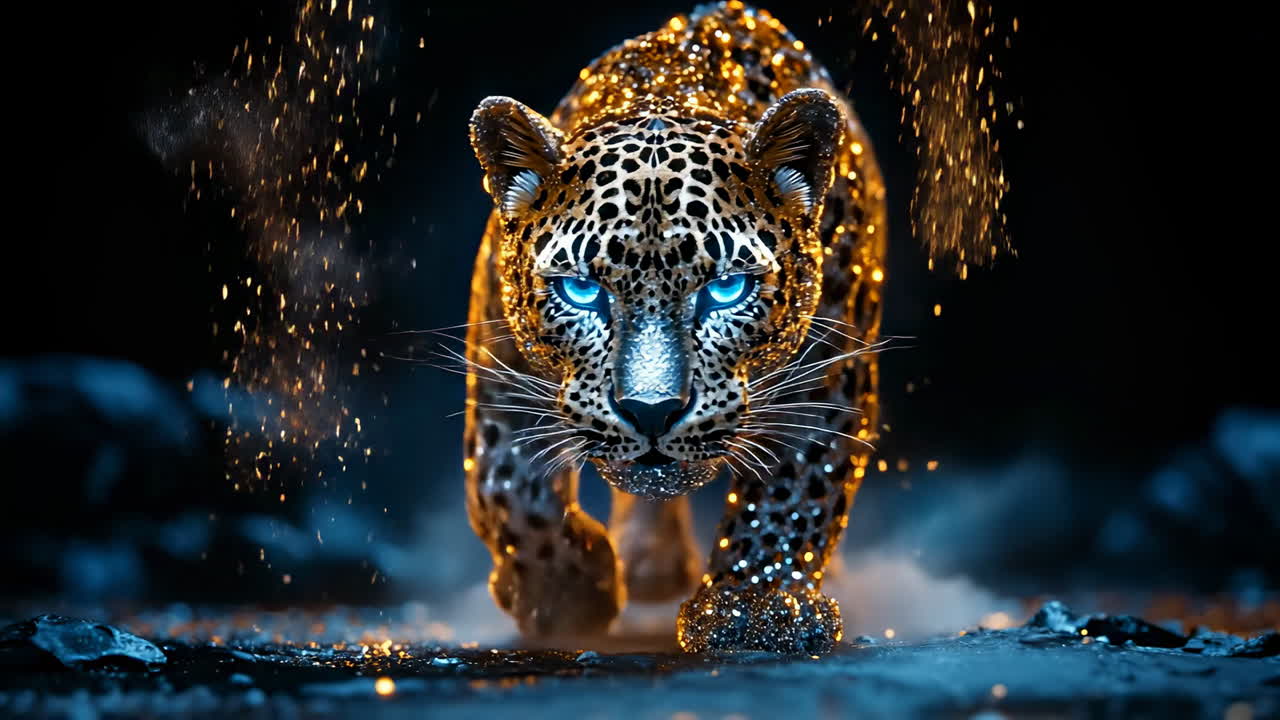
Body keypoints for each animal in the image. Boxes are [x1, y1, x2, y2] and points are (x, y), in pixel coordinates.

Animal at [462, 1, 886, 654]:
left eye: (727, 289)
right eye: (581, 290)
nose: (652, 411)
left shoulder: (829, 371)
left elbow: (797, 487)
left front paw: (755, 608)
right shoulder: (500, 363)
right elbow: (506, 487)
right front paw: (565, 592)